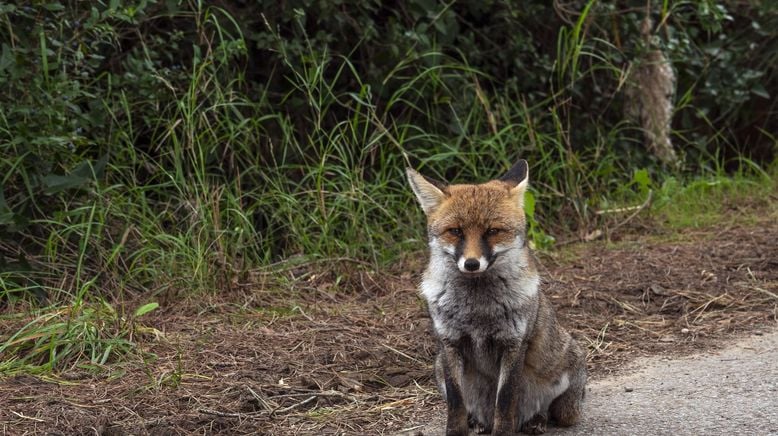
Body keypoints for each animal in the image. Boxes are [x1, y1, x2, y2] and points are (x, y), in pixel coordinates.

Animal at [406, 158, 584, 434]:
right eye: (455, 231)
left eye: (492, 231)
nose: (471, 263)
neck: (477, 311)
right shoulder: (450, 343)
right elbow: (456, 403)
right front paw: (456, 431)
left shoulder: (513, 344)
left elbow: (506, 400)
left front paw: (503, 431)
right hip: (438, 367)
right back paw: (479, 422)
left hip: (565, 393)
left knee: (550, 411)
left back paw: (536, 420)